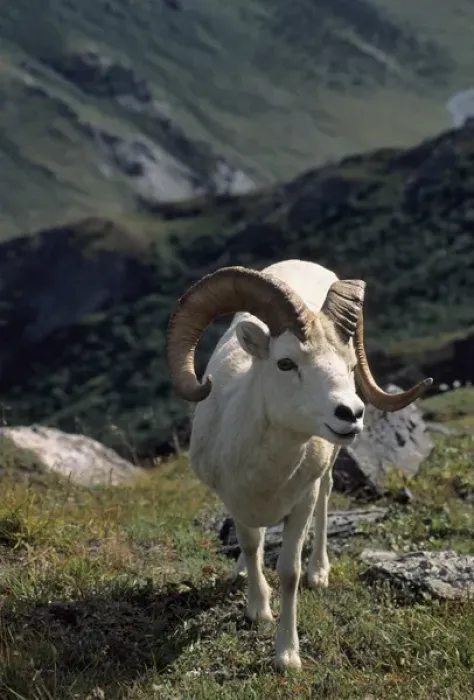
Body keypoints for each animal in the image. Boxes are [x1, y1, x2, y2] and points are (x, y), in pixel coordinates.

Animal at [166, 258, 432, 671]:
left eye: (350, 366)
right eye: (286, 363)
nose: (351, 414)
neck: (265, 473)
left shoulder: (300, 504)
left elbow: (288, 573)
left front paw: (287, 656)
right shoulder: (236, 502)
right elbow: (251, 545)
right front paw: (257, 608)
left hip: (326, 472)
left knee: (325, 501)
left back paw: (319, 572)